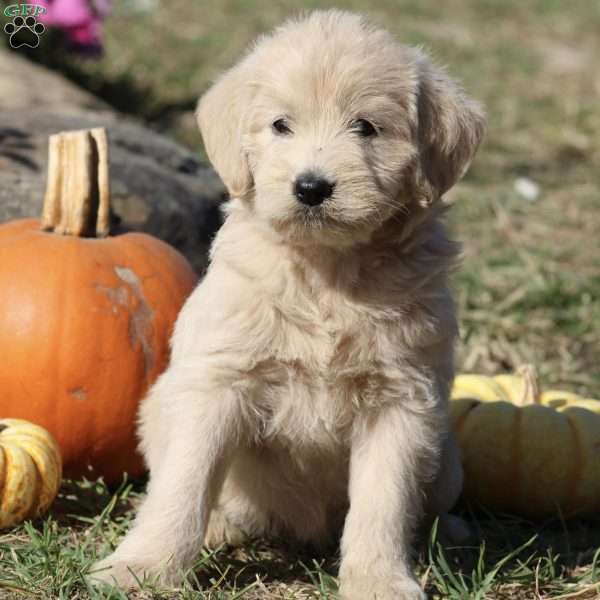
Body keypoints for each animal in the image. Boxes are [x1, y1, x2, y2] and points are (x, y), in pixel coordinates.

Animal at [91, 9, 486, 600]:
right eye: (280, 125)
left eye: (366, 127)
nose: (312, 188)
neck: (326, 273)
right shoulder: (216, 385)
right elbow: (183, 485)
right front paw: (141, 566)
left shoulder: (401, 402)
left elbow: (383, 505)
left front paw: (379, 580)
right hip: (159, 408)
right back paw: (220, 528)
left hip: (447, 460)